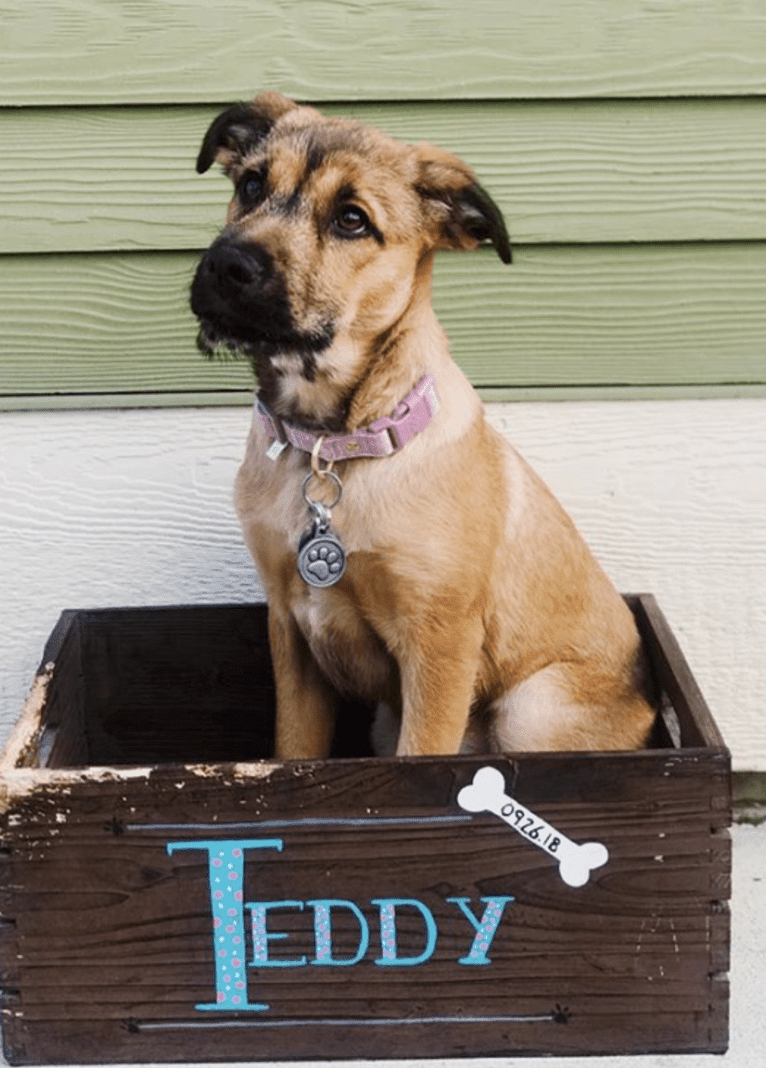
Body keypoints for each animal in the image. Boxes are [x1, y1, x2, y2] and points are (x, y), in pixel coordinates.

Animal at [190, 91, 649, 760]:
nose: (226, 265)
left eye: (352, 220)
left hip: (532, 709)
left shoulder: (438, 646)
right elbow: (293, 754)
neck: (330, 445)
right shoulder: (291, 635)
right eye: (250, 184)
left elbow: (422, 761)